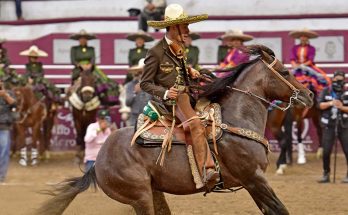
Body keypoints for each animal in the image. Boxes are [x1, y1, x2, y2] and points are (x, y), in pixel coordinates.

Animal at [39, 44, 314, 214]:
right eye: (285, 71)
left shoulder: (253, 182)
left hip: (153, 191)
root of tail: (97, 162)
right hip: (140, 196)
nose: (309, 94)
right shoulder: (254, 178)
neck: (237, 118)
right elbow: (280, 209)